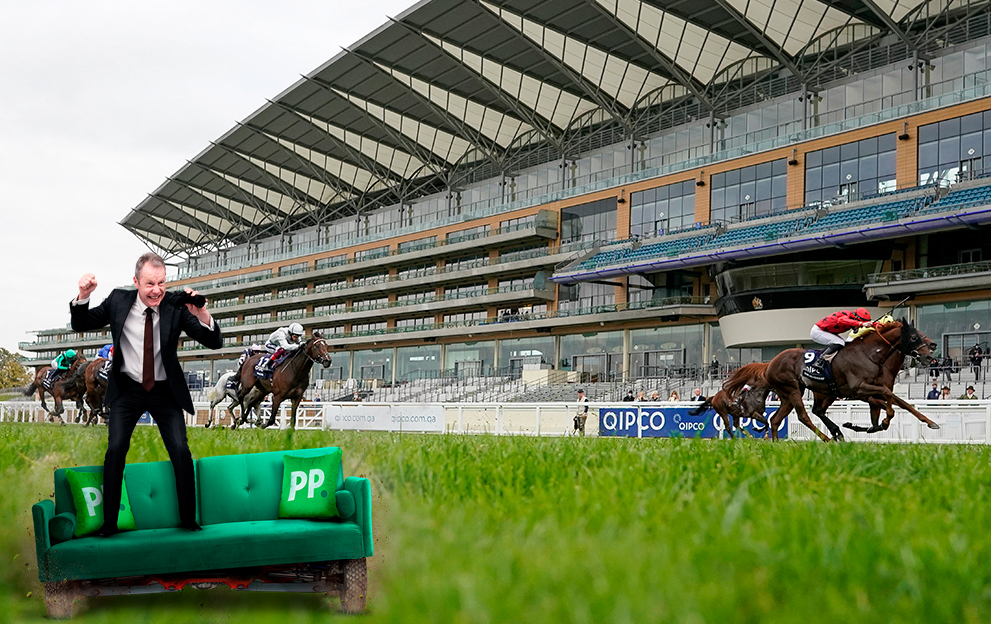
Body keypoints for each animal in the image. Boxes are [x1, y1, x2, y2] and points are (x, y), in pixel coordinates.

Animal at [768, 316, 936, 444]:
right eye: (914, 336)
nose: (930, 355)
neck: (870, 355)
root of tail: (771, 363)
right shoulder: (860, 389)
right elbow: (887, 399)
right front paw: (884, 421)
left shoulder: (872, 390)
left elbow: (903, 404)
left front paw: (930, 422)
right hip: (793, 389)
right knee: (804, 416)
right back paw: (829, 438)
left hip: (800, 394)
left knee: (778, 419)